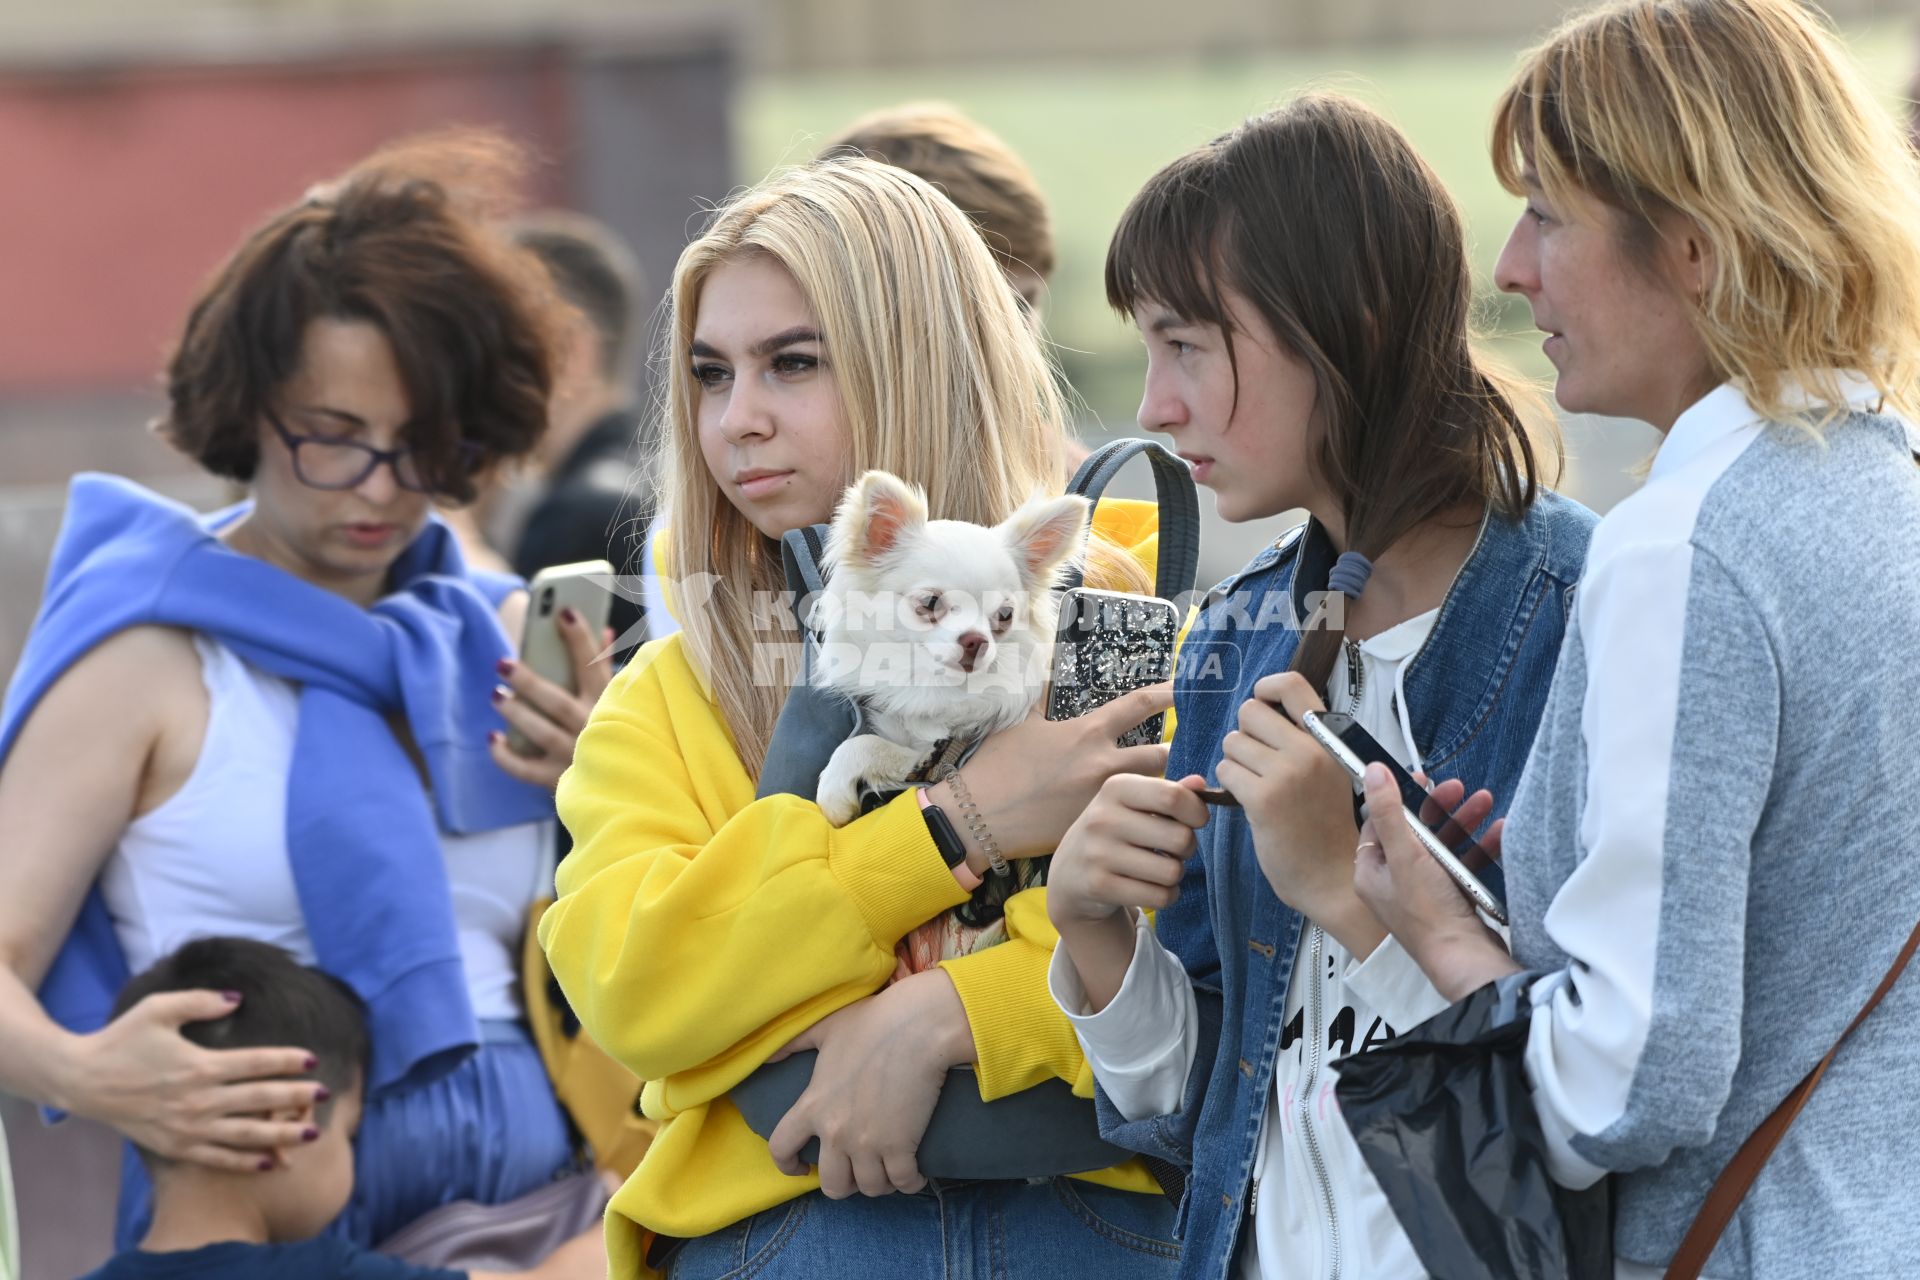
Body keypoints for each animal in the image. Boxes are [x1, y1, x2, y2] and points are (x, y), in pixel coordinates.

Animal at [810, 475, 1098, 825]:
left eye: (1005, 615)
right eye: (931, 603)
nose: (976, 639)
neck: (936, 687)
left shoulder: (924, 757)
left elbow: (864, 743)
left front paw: (834, 790)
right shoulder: (916, 756)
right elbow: (873, 743)